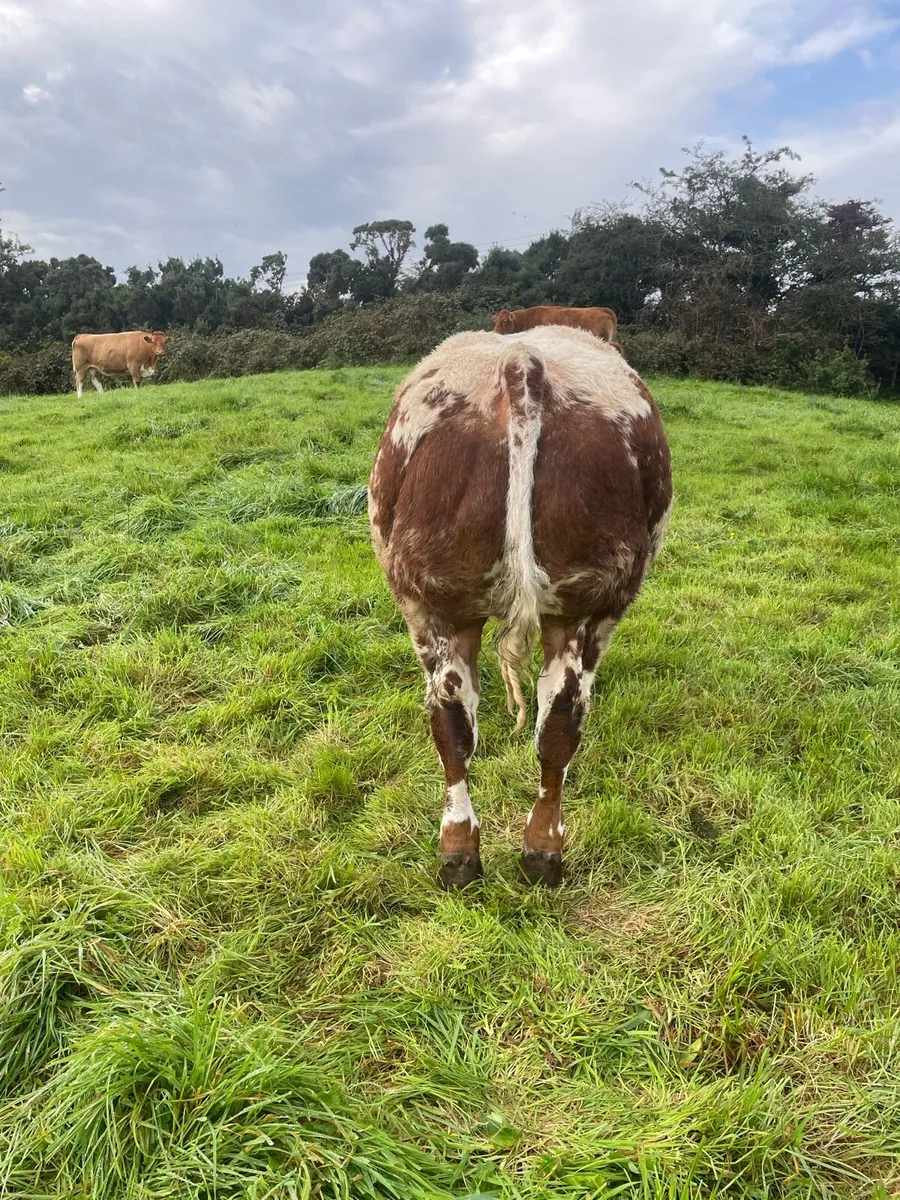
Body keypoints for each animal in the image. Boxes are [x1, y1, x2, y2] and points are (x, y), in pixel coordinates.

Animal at [368, 325, 672, 889]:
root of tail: (520, 361)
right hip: (581, 602)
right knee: (549, 719)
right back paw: (533, 851)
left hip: (436, 603)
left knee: (461, 720)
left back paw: (471, 852)